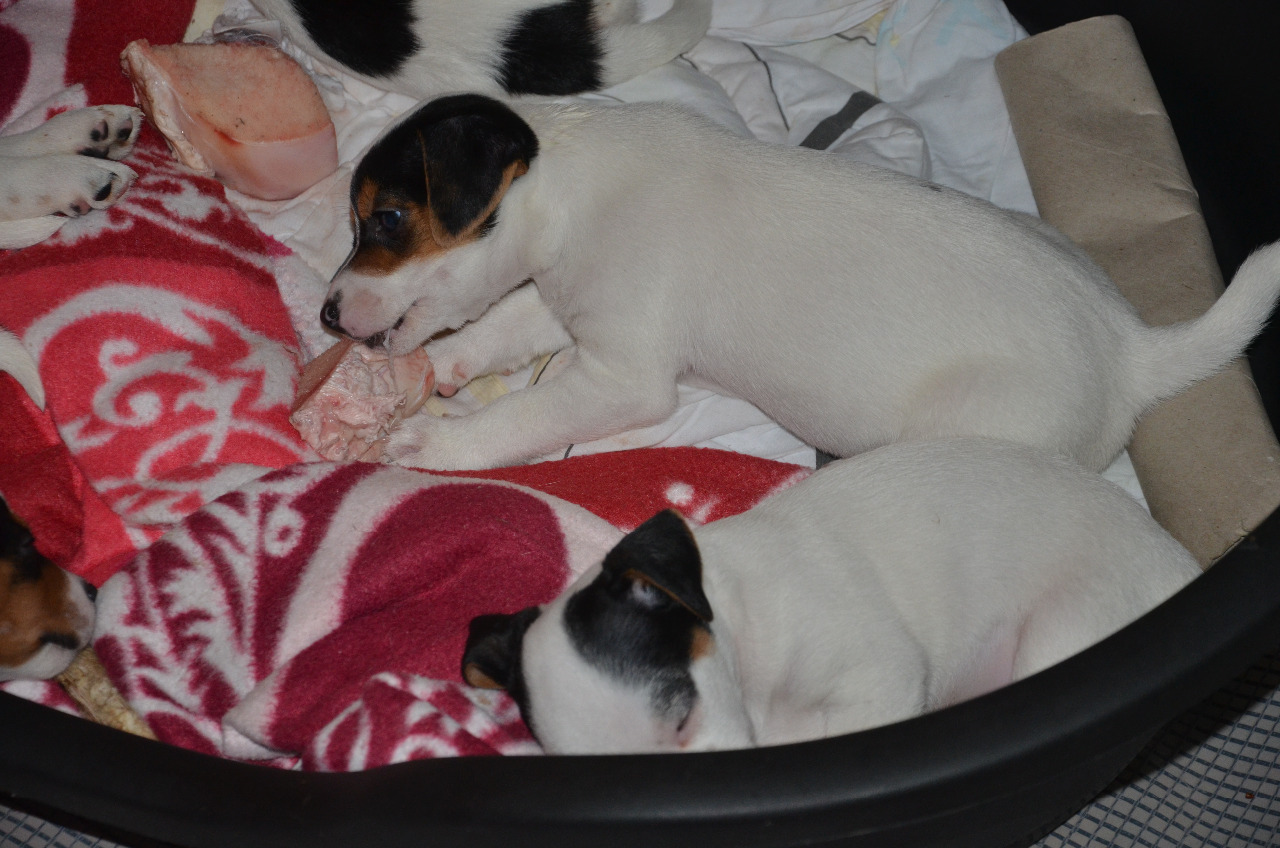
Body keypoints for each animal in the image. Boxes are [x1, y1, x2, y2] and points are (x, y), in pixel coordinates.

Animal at [318, 94, 1280, 473]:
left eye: (386, 219)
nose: (325, 313)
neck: (572, 184)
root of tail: (1132, 351)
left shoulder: (623, 374)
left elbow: (521, 415)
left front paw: (435, 444)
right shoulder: (572, 306)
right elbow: (500, 328)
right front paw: (436, 375)